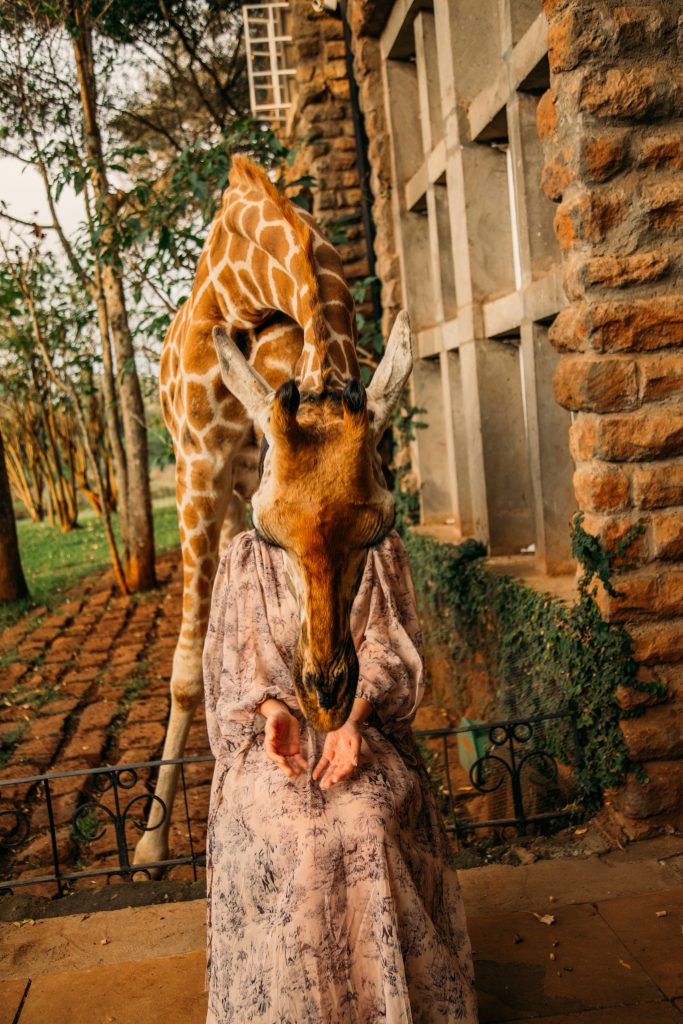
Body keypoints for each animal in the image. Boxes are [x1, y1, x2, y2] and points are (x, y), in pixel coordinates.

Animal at [133, 157, 411, 864]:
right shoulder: (198, 464)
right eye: (271, 533)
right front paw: (149, 846)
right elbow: (187, 670)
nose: (326, 697)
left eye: (382, 525)